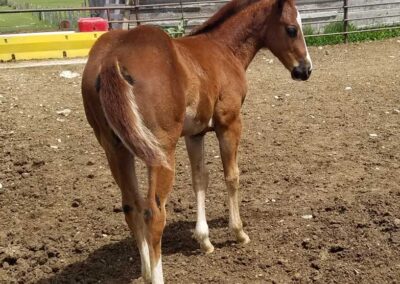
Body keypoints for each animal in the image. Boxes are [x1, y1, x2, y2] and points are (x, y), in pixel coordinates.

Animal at [82, 0, 312, 282]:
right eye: (292, 29)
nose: (305, 69)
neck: (223, 49)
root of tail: (112, 59)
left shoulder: (195, 134)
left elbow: (199, 179)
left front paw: (204, 240)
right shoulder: (229, 123)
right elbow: (231, 176)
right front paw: (239, 232)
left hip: (116, 150)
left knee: (131, 207)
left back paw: (146, 272)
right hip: (161, 152)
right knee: (153, 213)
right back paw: (157, 276)